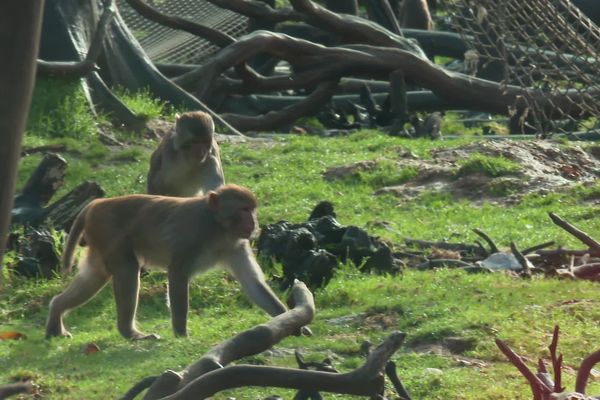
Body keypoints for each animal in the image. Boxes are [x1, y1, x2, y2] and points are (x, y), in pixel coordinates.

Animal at [47, 186, 288, 340]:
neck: (217, 226)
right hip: (108, 231)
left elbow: (252, 283)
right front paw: (182, 333)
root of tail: (96, 204)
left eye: (252, 209)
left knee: (94, 277)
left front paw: (288, 320)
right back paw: (130, 333)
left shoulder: (236, 245)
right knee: (127, 269)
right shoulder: (191, 235)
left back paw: (56, 313)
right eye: (244, 210)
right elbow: (177, 274)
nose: (254, 222)